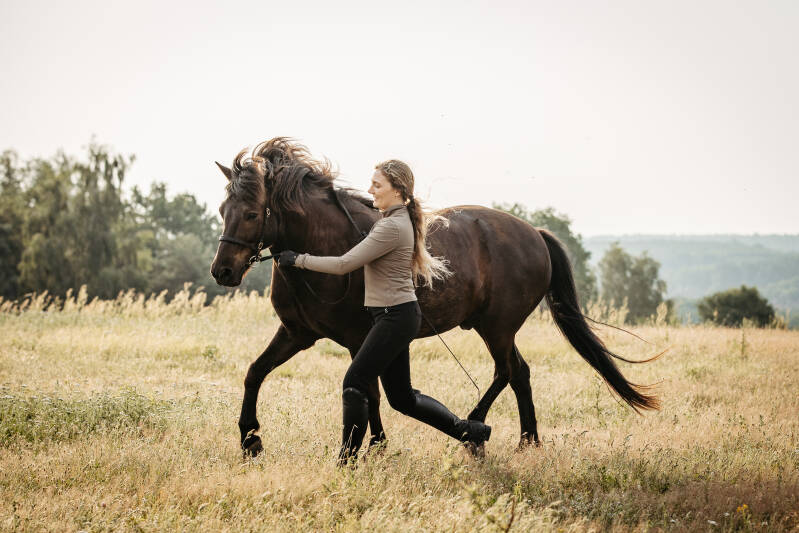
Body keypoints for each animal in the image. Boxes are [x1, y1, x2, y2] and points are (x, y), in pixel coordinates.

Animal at [210, 138, 659, 456]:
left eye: (252, 213)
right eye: (221, 210)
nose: (223, 271)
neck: (328, 246)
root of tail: (534, 232)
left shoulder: (360, 338)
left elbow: (368, 390)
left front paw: (375, 446)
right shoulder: (297, 333)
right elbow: (255, 372)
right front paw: (251, 441)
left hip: (496, 327)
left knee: (507, 372)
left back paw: (476, 430)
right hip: (496, 329)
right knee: (520, 373)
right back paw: (526, 440)